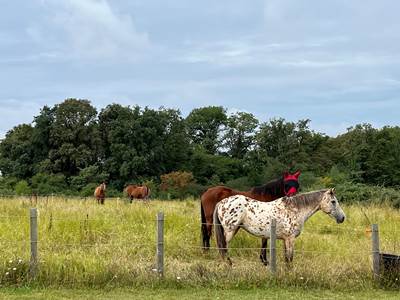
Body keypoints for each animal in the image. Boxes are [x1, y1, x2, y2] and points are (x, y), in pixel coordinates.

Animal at [214, 189, 346, 266]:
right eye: (333, 201)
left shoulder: (285, 239)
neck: (295, 209)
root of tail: (220, 203)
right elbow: (290, 258)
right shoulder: (290, 239)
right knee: (223, 248)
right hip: (230, 230)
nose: (342, 218)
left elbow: (286, 258)